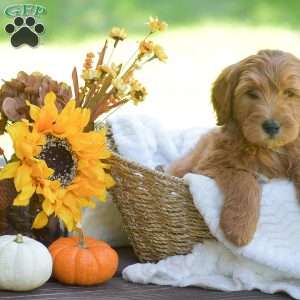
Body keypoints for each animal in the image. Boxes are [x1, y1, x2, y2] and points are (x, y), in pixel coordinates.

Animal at [166, 49, 300, 246]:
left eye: (289, 93)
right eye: (251, 93)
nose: (271, 126)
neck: (267, 150)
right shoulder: (212, 163)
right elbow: (244, 179)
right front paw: (239, 226)